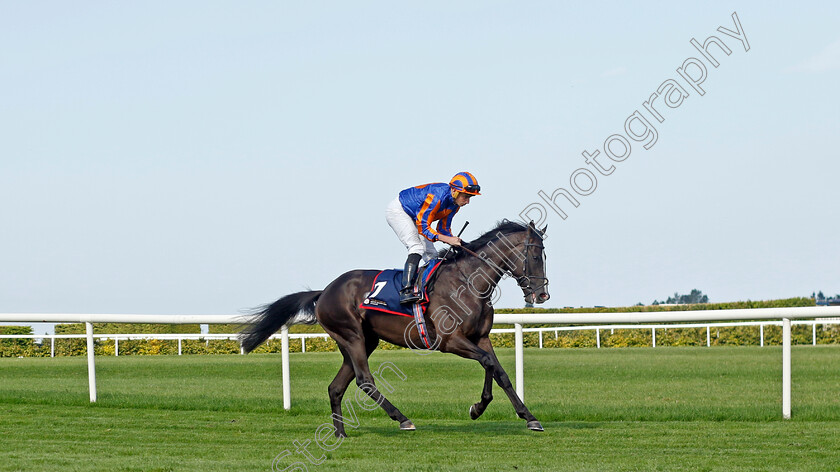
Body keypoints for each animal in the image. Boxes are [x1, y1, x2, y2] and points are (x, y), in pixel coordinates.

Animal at [238, 219, 552, 436]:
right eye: (536, 256)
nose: (541, 295)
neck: (467, 282)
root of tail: (324, 291)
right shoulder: (450, 341)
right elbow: (488, 363)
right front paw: (480, 408)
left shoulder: (481, 337)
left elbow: (498, 371)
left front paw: (525, 416)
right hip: (351, 336)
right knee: (365, 380)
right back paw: (402, 419)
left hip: (363, 341)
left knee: (336, 387)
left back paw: (340, 432)